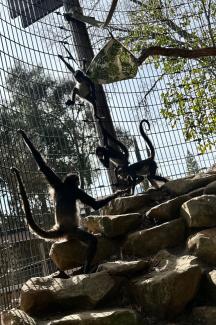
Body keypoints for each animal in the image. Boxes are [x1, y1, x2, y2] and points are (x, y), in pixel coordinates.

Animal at [11, 129, 126, 276]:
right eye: (76, 180)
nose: (79, 180)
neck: (66, 186)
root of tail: (62, 228)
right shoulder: (75, 190)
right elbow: (94, 205)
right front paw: (119, 193)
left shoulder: (57, 184)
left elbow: (43, 165)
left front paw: (24, 136)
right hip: (73, 232)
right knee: (92, 241)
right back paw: (86, 268)